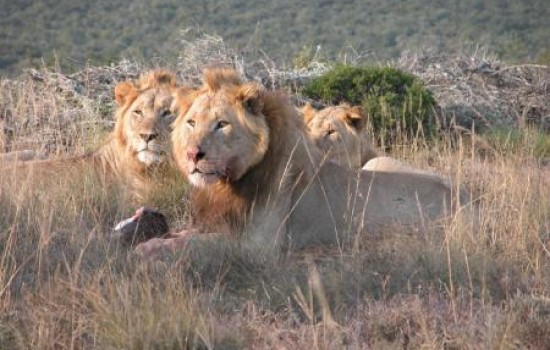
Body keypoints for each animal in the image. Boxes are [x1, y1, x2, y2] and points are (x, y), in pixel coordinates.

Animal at [134, 67, 470, 258]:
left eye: (222, 124)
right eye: (191, 122)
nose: (192, 154)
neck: (228, 184)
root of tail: (466, 198)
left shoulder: (258, 245)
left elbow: (195, 245)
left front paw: (149, 249)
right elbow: (183, 235)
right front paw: (153, 236)